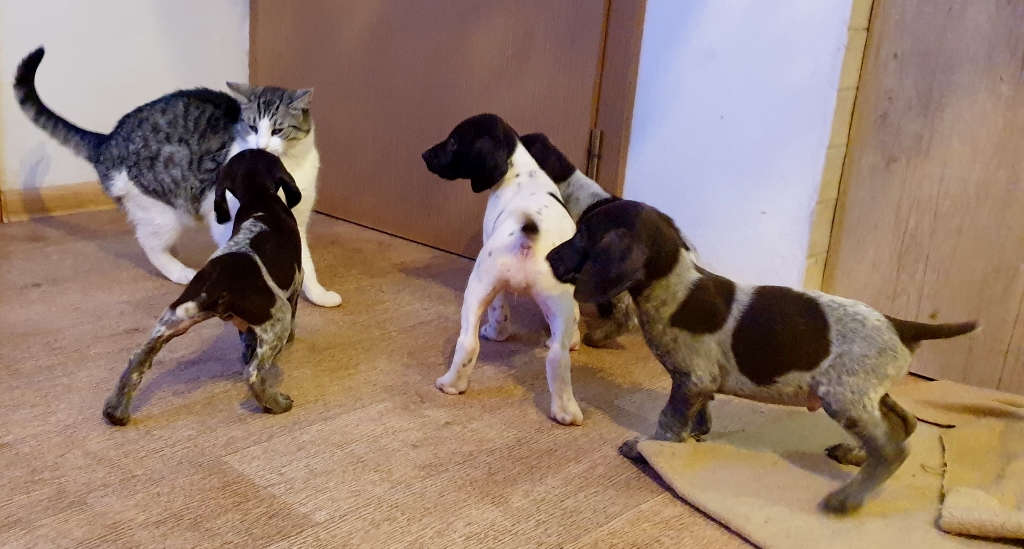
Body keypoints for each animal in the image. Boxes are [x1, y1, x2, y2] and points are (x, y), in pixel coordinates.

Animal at [12, 47, 341, 308]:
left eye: (277, 130)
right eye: (250, 127)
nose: (260, 145)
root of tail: (108, 140)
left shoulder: (295, 218)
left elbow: (305, 262)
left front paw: (318, 294)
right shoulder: (223, 216)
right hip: (163, 212)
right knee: (149, 243)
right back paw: (179, 271)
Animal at [103, 149, 304, 426]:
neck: (259, 197)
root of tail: (216, 283)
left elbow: (246, 340)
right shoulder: (296, 282)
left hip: (173, 319)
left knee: (137, 359)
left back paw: (116, 411)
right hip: (278, 317)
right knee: (253, 373)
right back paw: (276, 403)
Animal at [421, 114, 584, 426]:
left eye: (454, 141)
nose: (425, 155)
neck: (520, 171)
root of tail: (530, 232)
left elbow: (500, 310)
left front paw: (498, 330)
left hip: (478, 287)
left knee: (469, 342)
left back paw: (452, 382)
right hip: (559, 301)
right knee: (558, 357)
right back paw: (566, 410)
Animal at [546, 199, 979, 513]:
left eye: (582, 235)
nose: (549, 258)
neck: (675, 286)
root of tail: (900, 325)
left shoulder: (691, 379)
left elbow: (667, 423)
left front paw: (646, 448)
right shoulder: (699, 381)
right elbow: (696, 413)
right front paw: (695, 434)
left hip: (842, 397)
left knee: (891, 449)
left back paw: (847, 498)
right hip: (866, 393)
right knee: (903, 423)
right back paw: (855, 455)